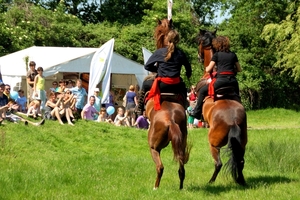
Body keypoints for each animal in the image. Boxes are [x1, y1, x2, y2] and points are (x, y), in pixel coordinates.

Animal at [145, 18, 190, 189]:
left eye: (158, 31)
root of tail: (170, 121)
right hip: (181, 142)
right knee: (182, 167)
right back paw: (181, 187)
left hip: (154, 147)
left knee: (160, 167)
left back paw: (155, 187)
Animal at [196, 28, 247, 185]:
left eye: (198, 41)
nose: (198, 57)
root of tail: (233, 120)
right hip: (242, 143)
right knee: (240, 161)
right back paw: (241, 181)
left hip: (213, 144)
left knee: (218, 163)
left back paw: (211, 182)